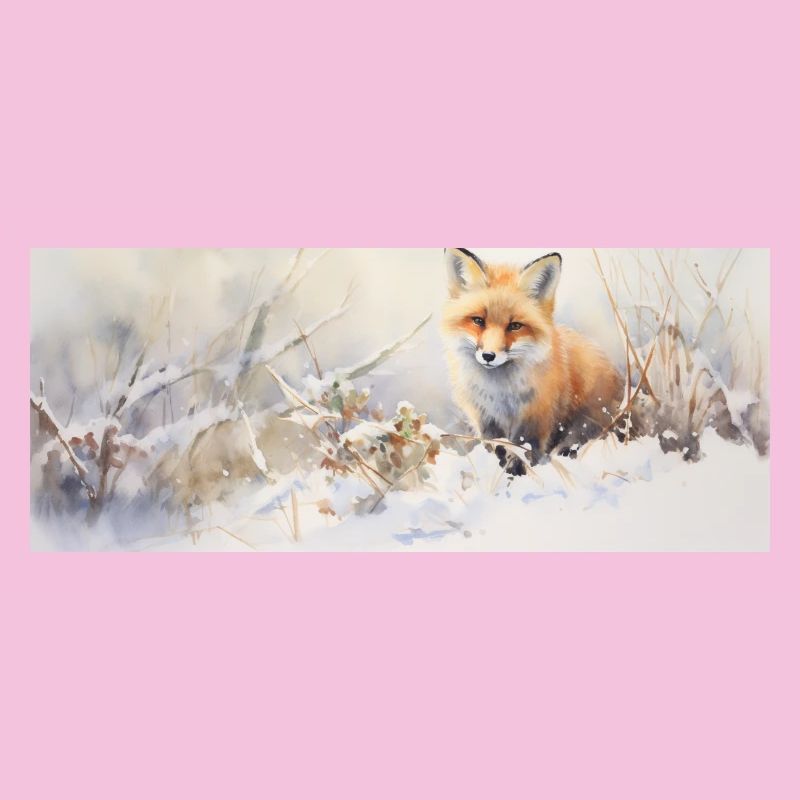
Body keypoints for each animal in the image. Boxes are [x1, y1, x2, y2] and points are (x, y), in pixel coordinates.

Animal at [441, 248, 624, 474]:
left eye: (515, 326)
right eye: (478, 321)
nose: (488, 356)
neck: (500, 393)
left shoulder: (535, 420)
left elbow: (524, 453)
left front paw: (517, 476)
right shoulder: (486, 420)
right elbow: (497, 449)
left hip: (584, 426)